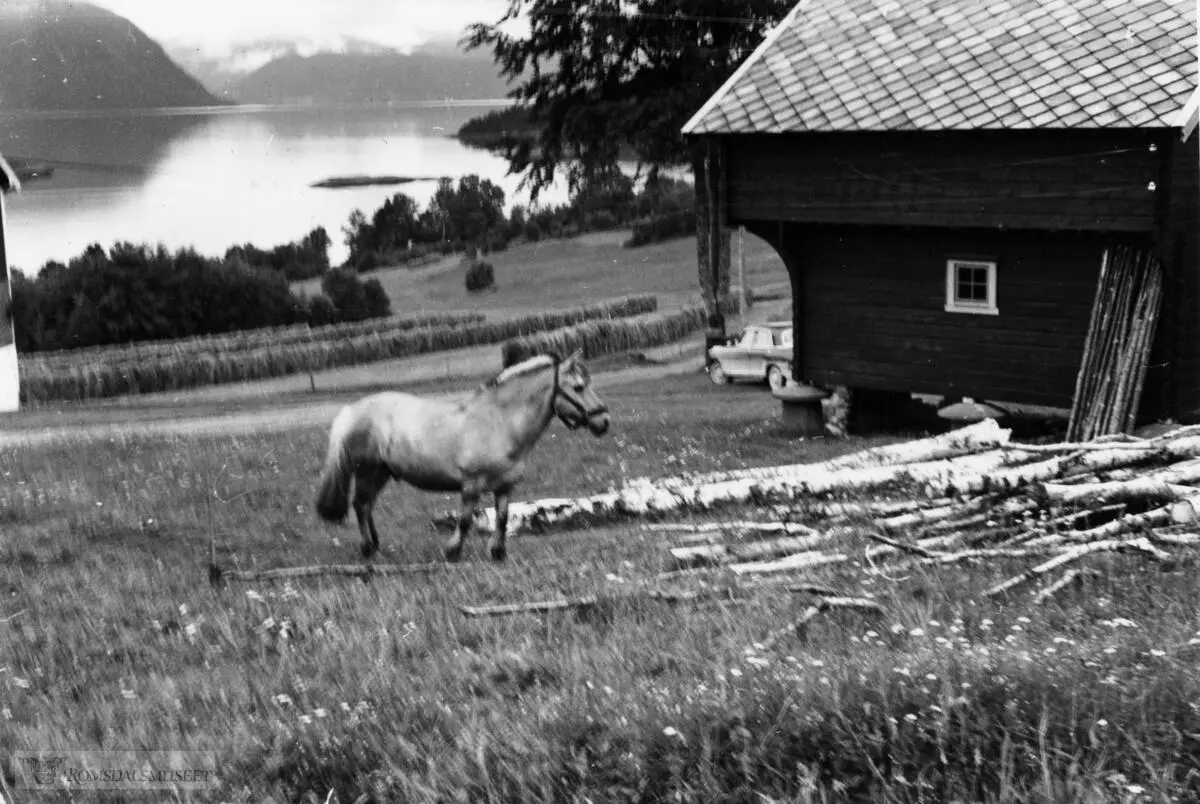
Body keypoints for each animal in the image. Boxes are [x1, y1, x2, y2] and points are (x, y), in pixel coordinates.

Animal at [314, 350, 609, 564]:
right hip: (367, 470)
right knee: (360, 504)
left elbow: (502, 518)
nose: (604, 421)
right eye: (579, 387)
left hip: (381, 473)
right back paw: (367, 548)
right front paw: (453, 551)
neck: (500, 422)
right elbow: (465, 520)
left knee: (366, 505)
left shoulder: (505, 487)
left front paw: (498, 552)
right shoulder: (471, 484)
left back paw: (375, 545)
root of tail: (352, 410)